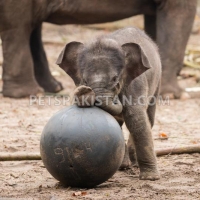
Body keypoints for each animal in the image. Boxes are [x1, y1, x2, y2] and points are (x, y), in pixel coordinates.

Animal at [56, 27, 161, 180]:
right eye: (84, 80)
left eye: (115, 79)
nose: (85, 91)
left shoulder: (135, 85)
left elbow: (136, 119)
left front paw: (150, 178)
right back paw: (123, 166)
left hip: (157, 84)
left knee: (149, 118)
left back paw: (133, 164)